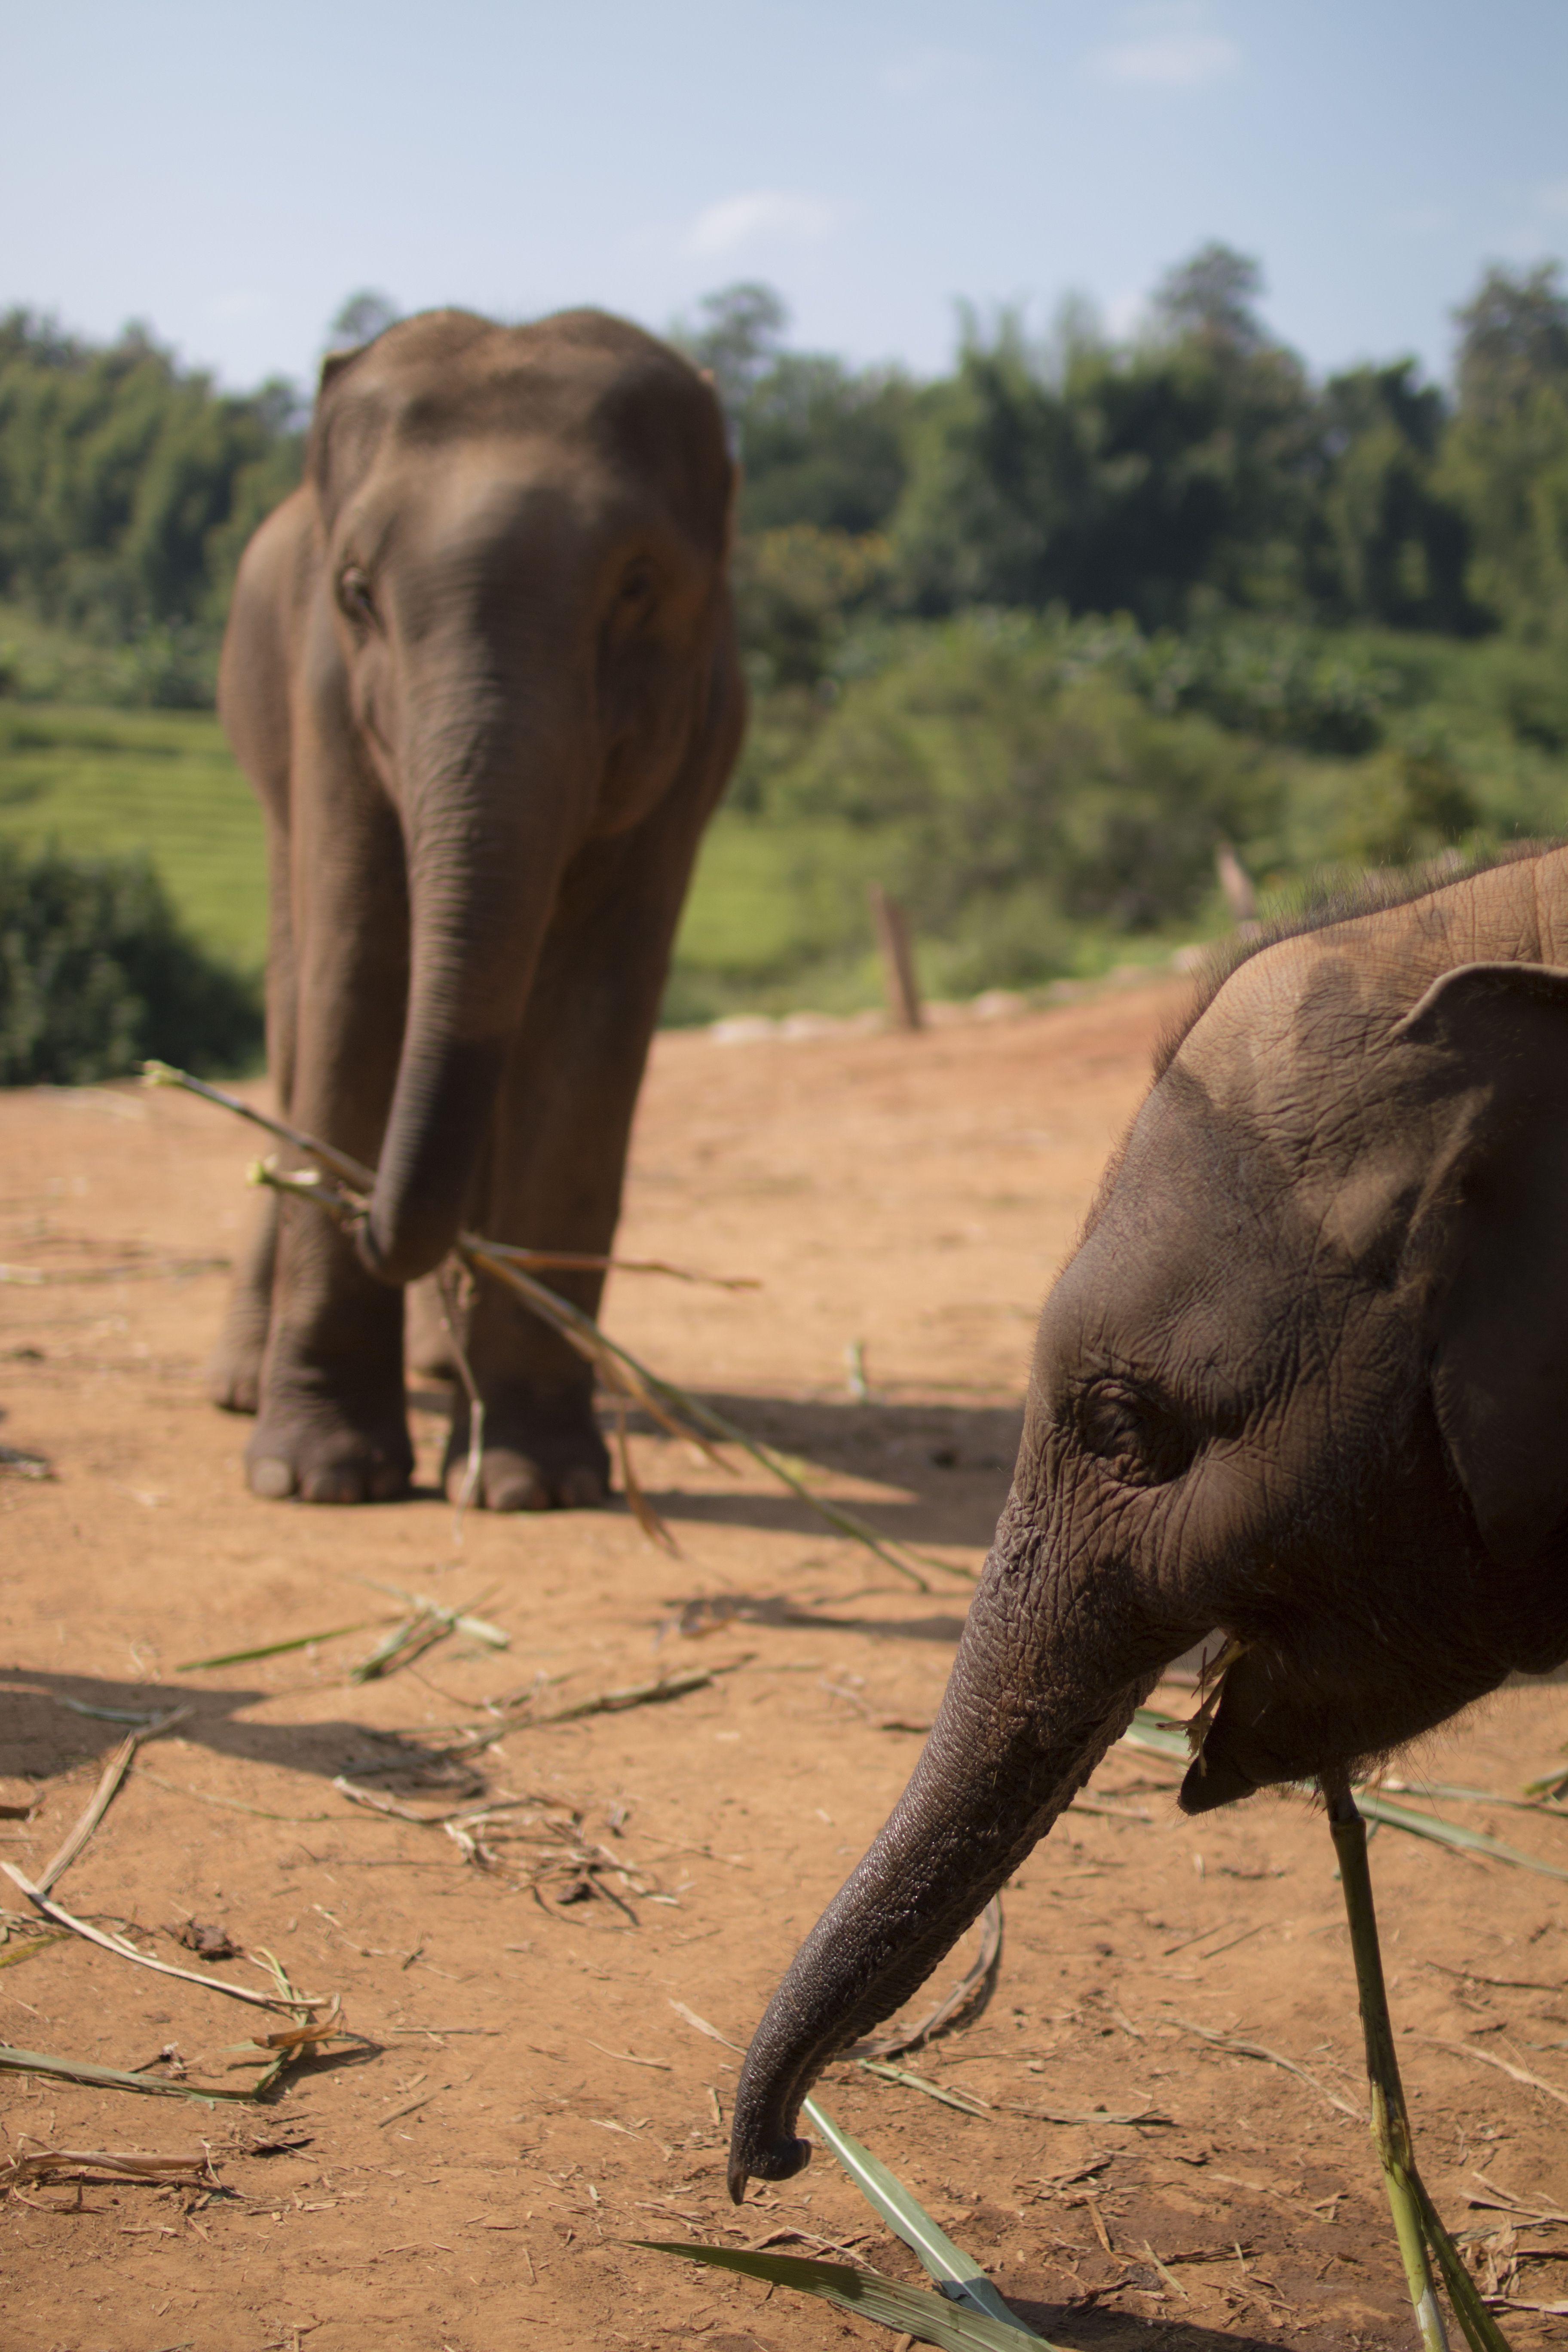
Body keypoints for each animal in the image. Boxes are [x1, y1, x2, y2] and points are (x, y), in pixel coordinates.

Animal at [208, 306, 743, 1509]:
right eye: (357, 591)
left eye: (637, 584)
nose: (368, 1220)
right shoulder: (327, 706)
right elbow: (360, 977)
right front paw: (320, 1477)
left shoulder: (697, 738)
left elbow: (593, 1021)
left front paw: (535, 1482)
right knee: (295, 1009)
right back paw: (242, 1386)